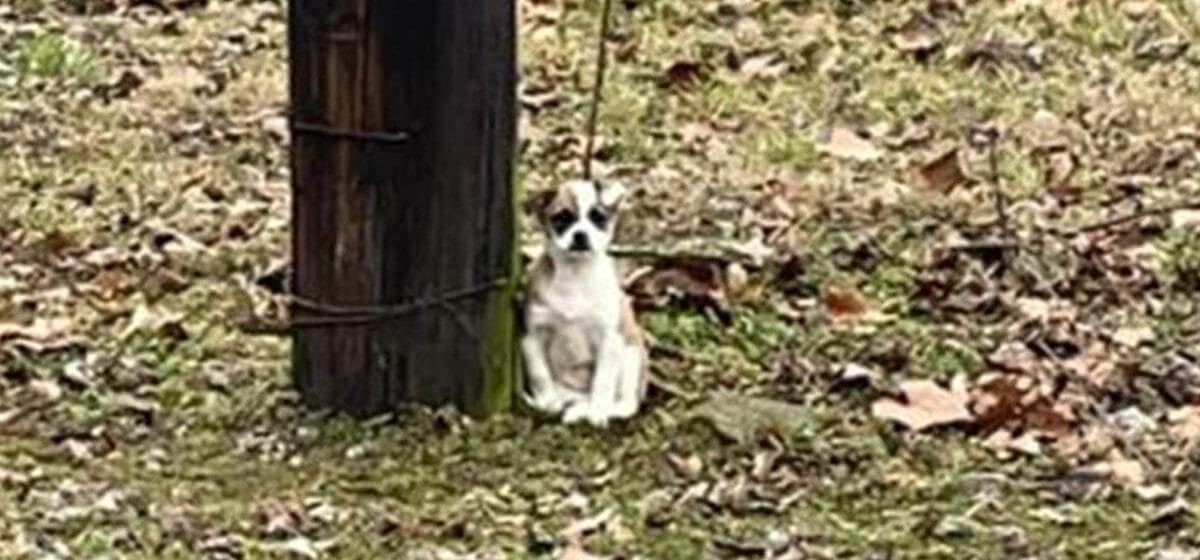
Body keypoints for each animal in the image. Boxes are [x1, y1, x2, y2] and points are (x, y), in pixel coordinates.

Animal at [521, 179, 647, 427]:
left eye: (598, 217)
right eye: (561, 218)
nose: (580, 235)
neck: (575, 275)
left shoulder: (609, 341)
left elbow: (603, 381)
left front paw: (598, 412)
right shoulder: (532, 339)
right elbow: (539, 374)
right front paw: (546, 401)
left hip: (631, 357)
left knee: (626, 405)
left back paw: (598, 410)